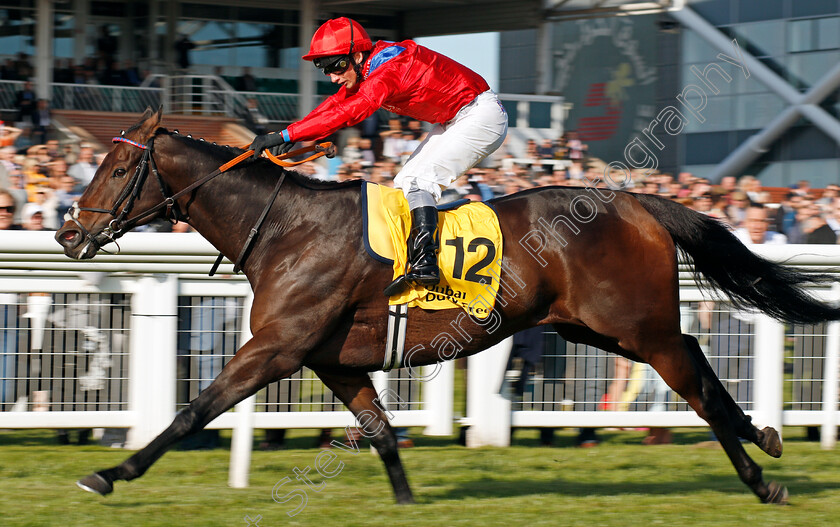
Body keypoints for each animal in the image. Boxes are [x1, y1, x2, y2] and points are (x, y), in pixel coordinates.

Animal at [55, 108, 836, 508]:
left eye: (118, 168)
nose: (68, 233)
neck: (284, 228)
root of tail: (638, 201)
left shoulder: (277, 346)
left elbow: (193, 409)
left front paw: (109, 474)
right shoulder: (333, 360)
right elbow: (379, 431)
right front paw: (405, 502)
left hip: (636, 326)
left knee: (697, 384)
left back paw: (761, 476)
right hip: (600, 327)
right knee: (700, 366)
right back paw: (766, 437)